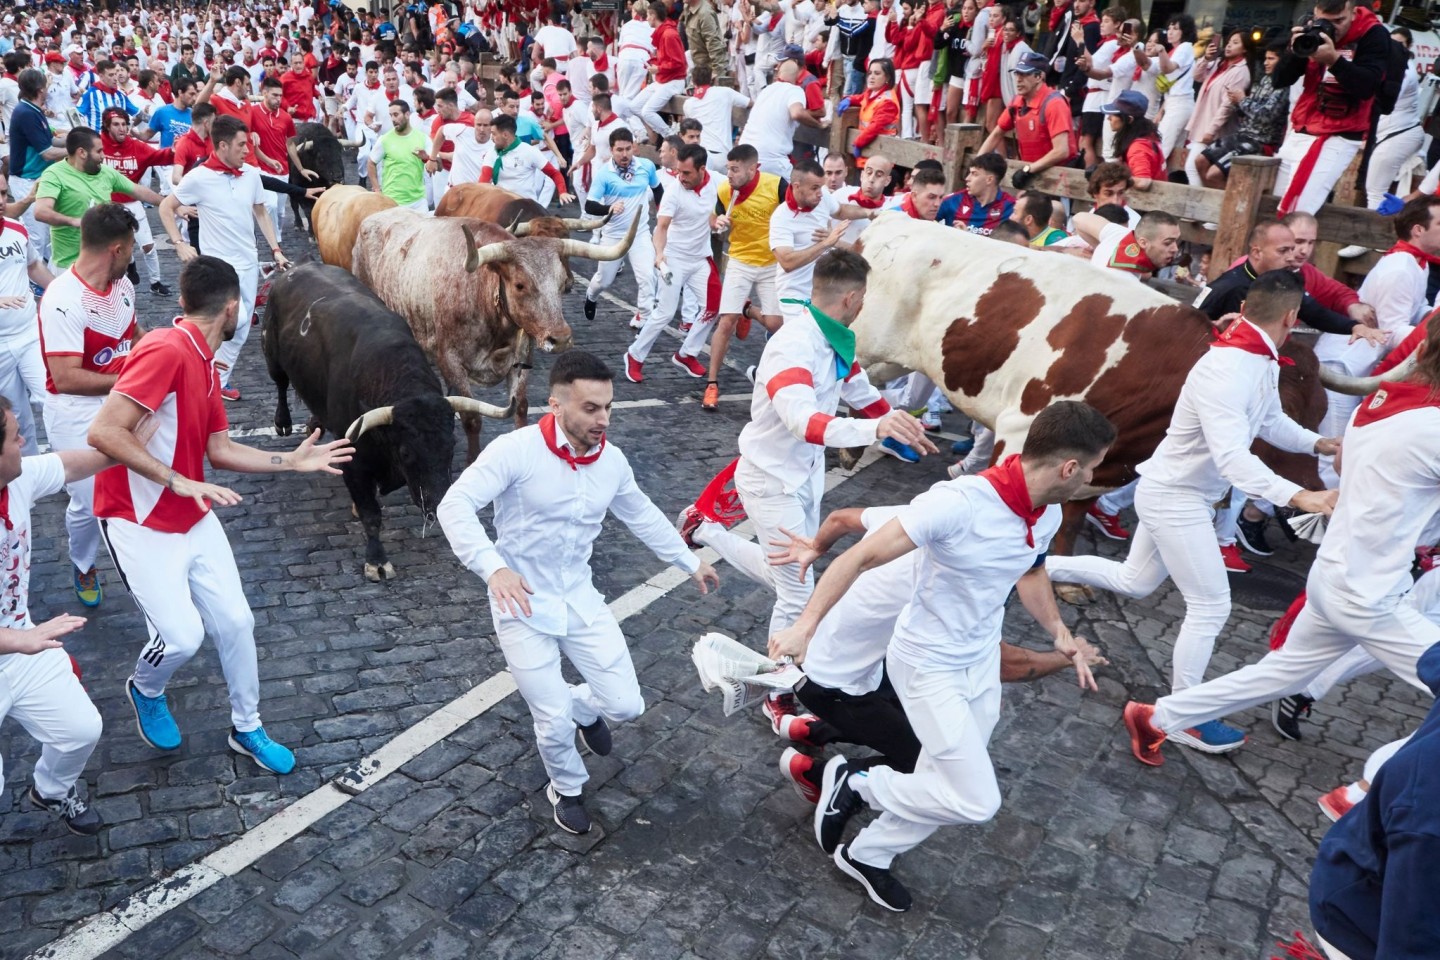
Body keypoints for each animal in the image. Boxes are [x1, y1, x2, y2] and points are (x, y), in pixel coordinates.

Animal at [262, 259, 480, 581]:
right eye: (406, 452)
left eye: (451, 446)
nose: (438, 504)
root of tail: (296, 267)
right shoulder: (353, 462)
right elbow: (371, 514)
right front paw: (377, 561)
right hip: (272, 354)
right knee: (279, 383)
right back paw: (283, 421)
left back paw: (315, 424)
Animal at [351, 208, 639, 460]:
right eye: (520, 285)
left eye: (561, 284)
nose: (560, 338)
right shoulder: (451, 361)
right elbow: (472, 418)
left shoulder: (521, 361)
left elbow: (520, 408)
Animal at [846, 217, 1342, 567]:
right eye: (1274, 410)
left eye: (1318, 411)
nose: (1319, 488)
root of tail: (890, 220)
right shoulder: (1021, 430)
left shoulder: (1102, 458)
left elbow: (1072, 517)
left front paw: (1065, 573)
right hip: (866, 341)